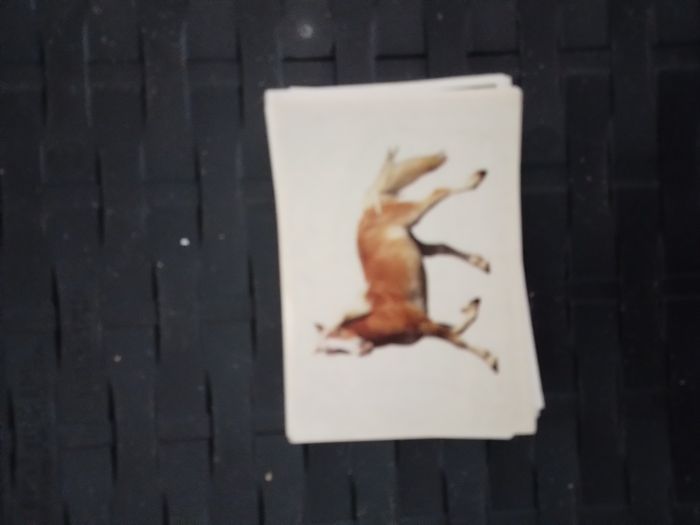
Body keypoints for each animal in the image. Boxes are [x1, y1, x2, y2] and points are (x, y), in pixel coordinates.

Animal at [314, 149, 498, 372]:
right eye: (329, 352)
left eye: (336, 335)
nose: (361, 351)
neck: (379, 315)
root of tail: (369, 211)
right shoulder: (425, 324)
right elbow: (456, 330)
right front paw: (472, 307)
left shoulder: (423, 323)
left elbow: (457, 341)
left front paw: (490, 359)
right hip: (413, 239)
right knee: (439, 247)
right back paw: (481, 263)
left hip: (411, 214)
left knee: (438, 192)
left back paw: (476, 178)